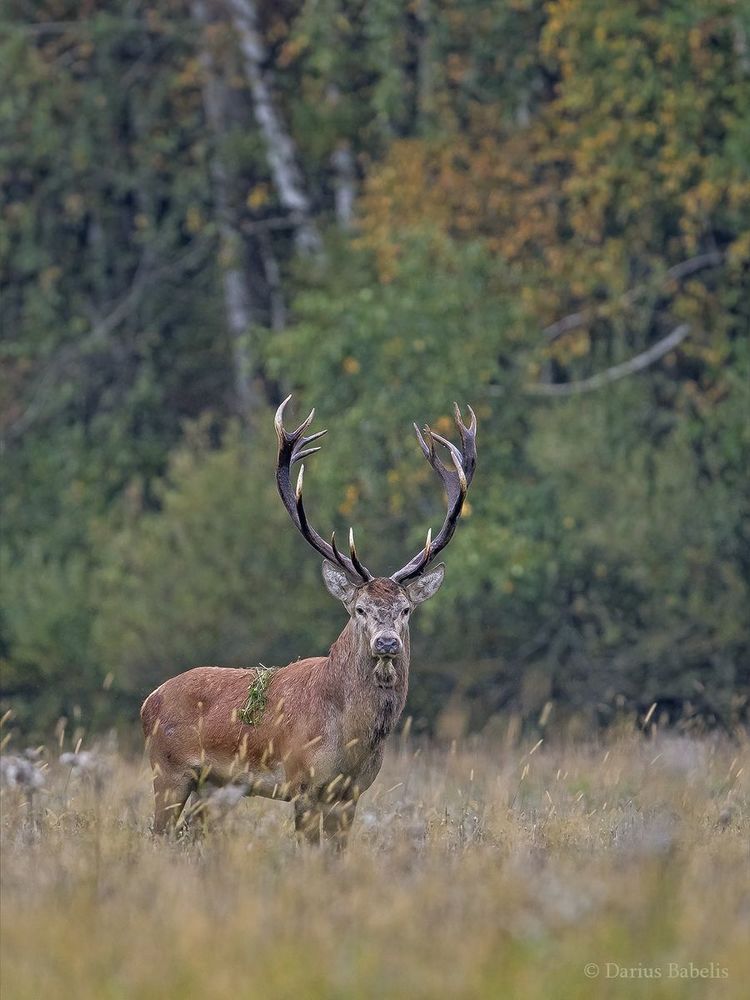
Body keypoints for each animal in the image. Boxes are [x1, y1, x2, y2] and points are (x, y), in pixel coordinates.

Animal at [141, 397, 477, 845]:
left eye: (406, 609)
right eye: (359, 609)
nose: (387, 642)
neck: (351, 740)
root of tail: (148, 701)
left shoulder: (351, 793)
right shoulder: (302, 781)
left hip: (212, 786)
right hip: (168, 771)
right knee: (158, 834)